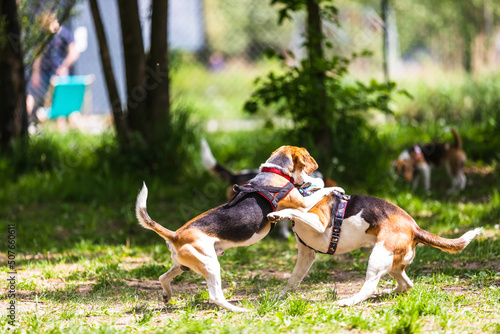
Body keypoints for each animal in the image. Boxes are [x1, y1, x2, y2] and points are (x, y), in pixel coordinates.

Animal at [137, 145, 340, 312]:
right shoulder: (303, 204)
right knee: (216, 296)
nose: (307, 180)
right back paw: (240, 310)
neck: (274, 171)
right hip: (210, 265)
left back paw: (167, 296)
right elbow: (322, 189)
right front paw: (334, 187)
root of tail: (175, 236)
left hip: (184, 265)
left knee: (163, 277)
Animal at [268, 188, 482, 306]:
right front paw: (279, 296)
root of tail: (414, 228)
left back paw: (349, 301)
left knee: (370, 287)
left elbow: (294, 211)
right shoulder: (306, 255)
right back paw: (388, 292)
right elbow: (292, 280)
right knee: (406, 285)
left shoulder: (318, 222)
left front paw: (279, 214)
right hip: (392, 264)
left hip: (378, 256)